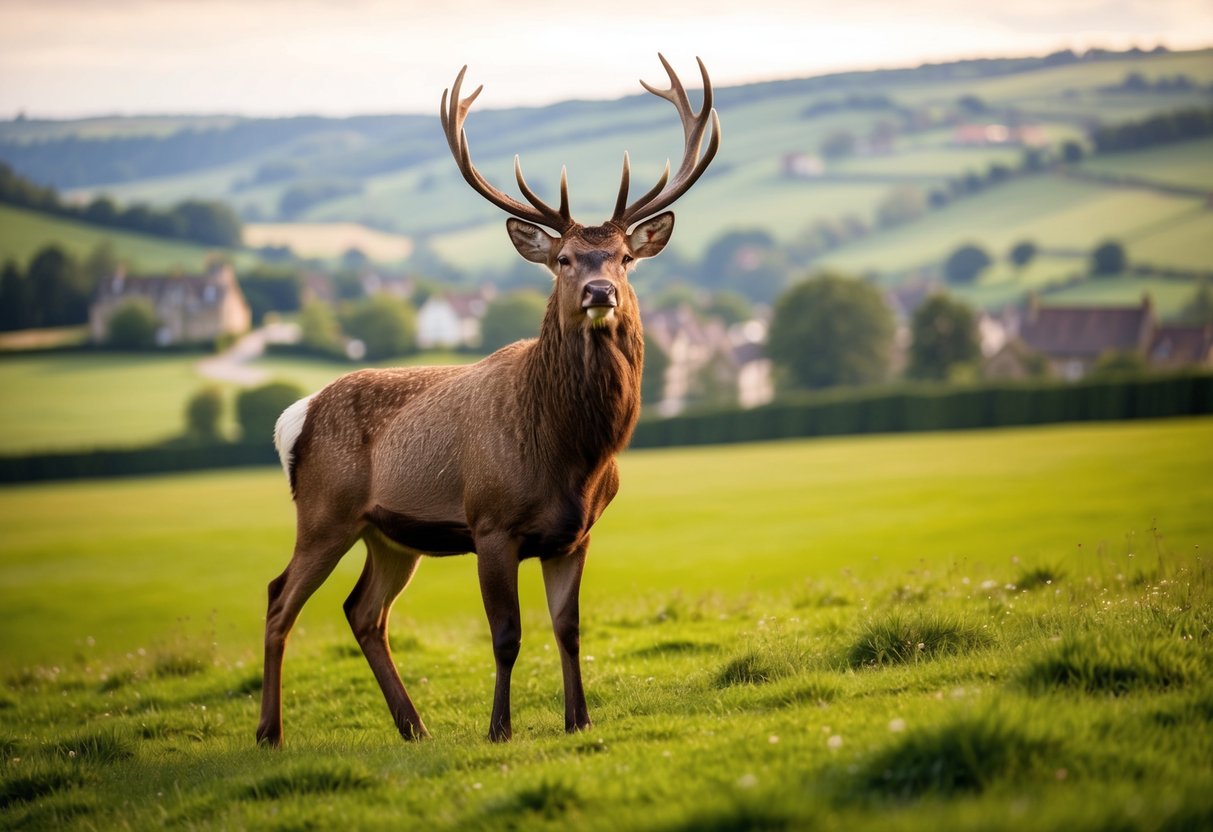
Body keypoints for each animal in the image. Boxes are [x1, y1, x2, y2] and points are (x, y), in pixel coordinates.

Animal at [256, 54, 720, 746]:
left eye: (625, 257)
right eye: (563, 259)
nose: (601, 292)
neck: (573, 455)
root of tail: (296, 418)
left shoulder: (575, 535)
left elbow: (568, 630)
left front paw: (578, 721)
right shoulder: (490, 522)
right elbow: (506, 635)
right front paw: (499, 728)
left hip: (388, 535)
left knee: (363, 611)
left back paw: (413, 727)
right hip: (324, 511)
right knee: (279, 597)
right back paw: (270, 733)